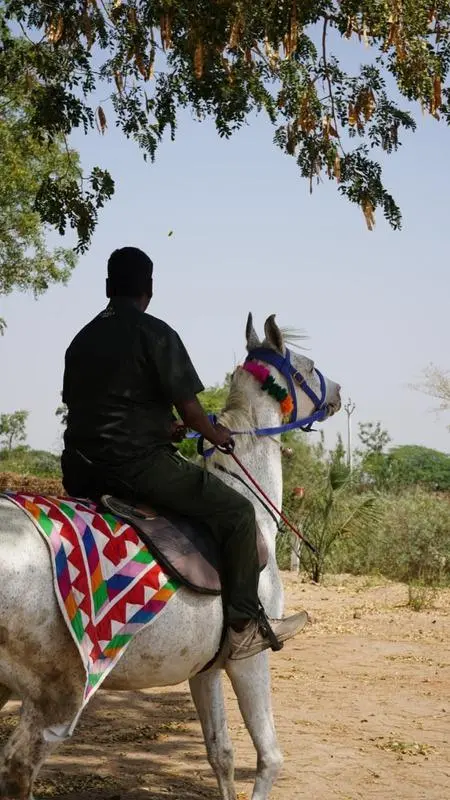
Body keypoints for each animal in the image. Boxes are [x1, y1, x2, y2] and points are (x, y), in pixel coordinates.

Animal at [0, 314, 340, 800]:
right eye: (307, 367)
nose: (338, 394)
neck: (252, 507)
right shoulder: (250, 658)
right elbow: (269, 757)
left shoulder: (206, 669)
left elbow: (221, 754)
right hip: (57, 696)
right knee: (18, 765)